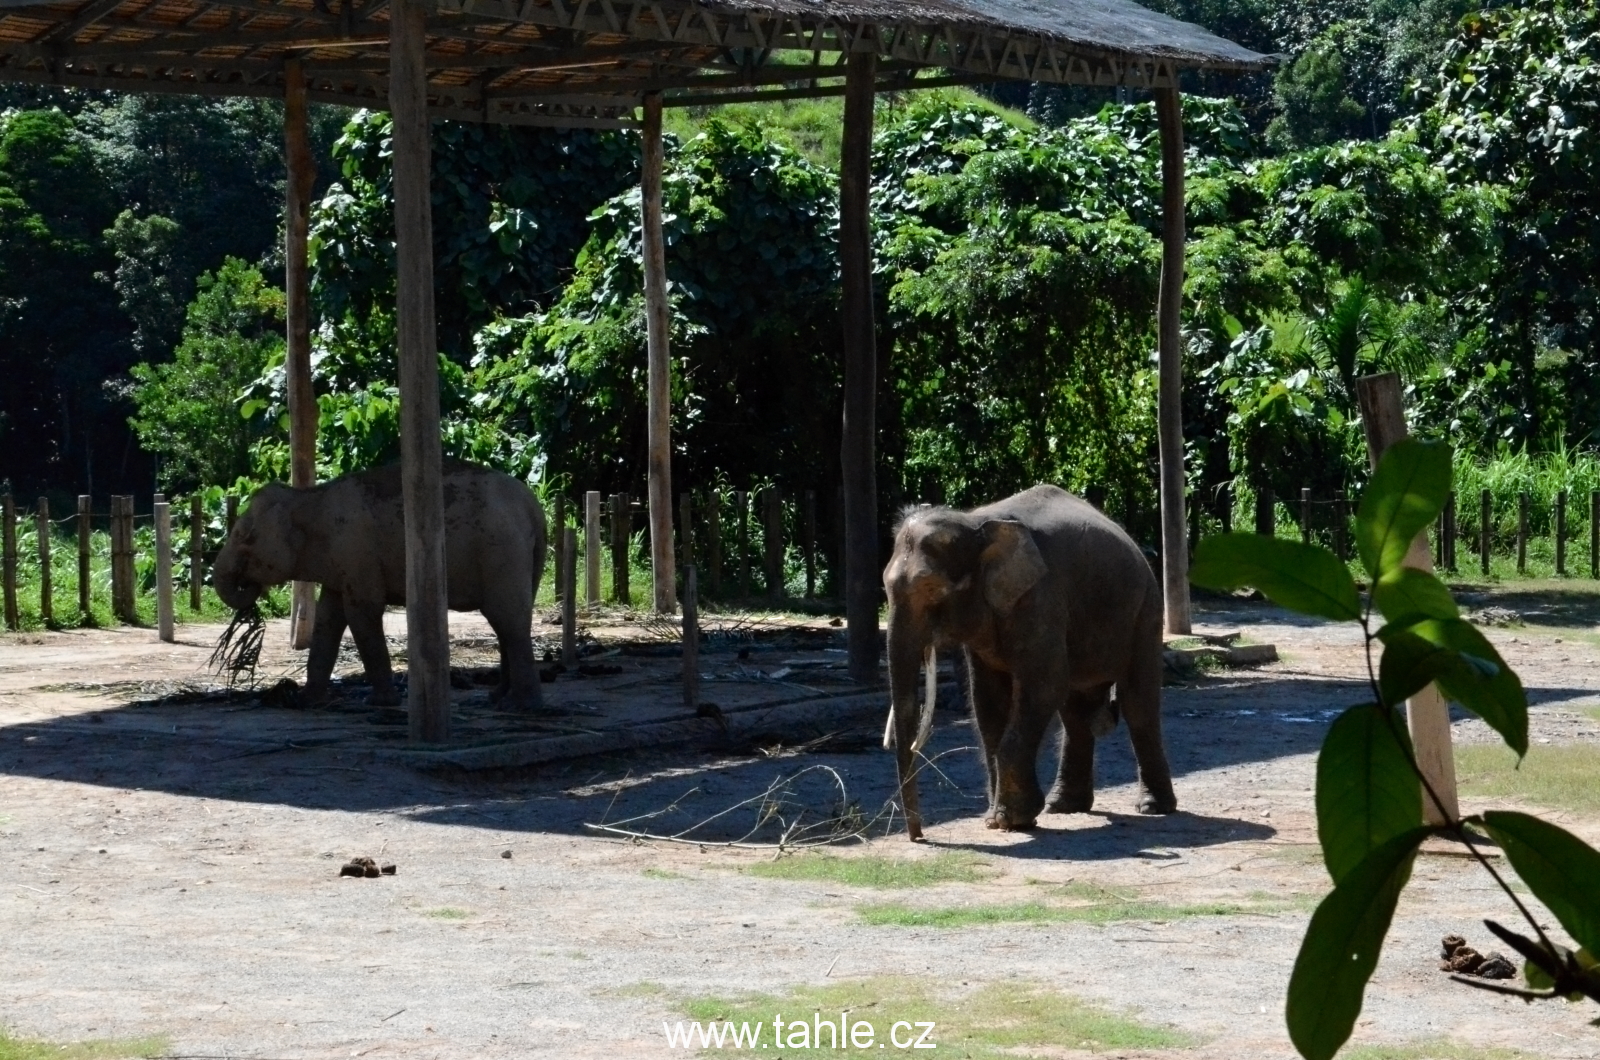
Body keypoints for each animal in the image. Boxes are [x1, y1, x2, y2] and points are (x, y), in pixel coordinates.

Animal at [214, 457, 550, 714]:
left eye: (243, 537)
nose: (249, 587)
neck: (310, 497)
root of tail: (532, 507)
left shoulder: (356, 549)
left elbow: (362, 613)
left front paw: (380, 703)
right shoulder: (341, 563)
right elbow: (329, 619)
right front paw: (306, 700)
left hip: (501, 551)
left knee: (507, 619)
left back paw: (520, 706)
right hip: (526, 557)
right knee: (510, 620)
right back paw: (498, 697)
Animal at [876, 486, 1177, 845]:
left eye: (931, 588)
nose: (919, 837)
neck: (975, 523)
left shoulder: (1040, 596)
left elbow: (1043, 684)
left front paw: (1012, 820)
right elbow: (987, 699)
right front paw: (995, 820)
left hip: (1146, 610)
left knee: (1137, 704)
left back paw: (1153, 808)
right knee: (1075, 713)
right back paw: (1064, 807)